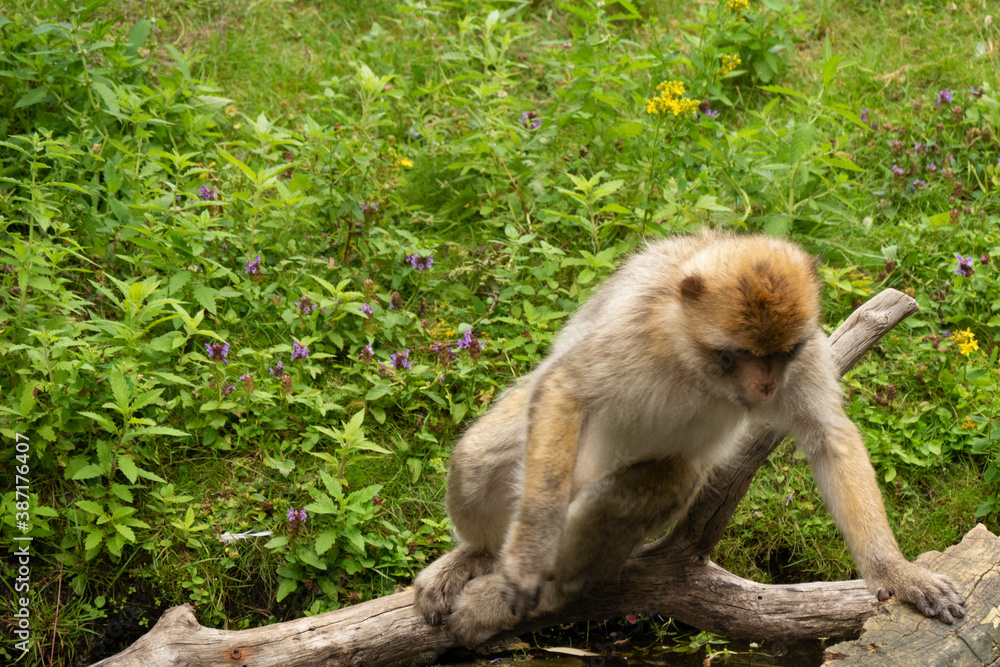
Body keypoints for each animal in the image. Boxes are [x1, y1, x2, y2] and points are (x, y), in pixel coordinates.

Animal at [412, 231, 960, 648]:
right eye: (738, 353)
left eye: (780, 353)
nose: (765, 388)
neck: (691, 358)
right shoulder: (633, 333)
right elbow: (565, 389)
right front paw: (528, 555)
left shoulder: (806, 356)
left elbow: (829, 439)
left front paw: (896, 573)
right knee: (482, 452)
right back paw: (480, 555)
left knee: (649, 486)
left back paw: (546, 589)